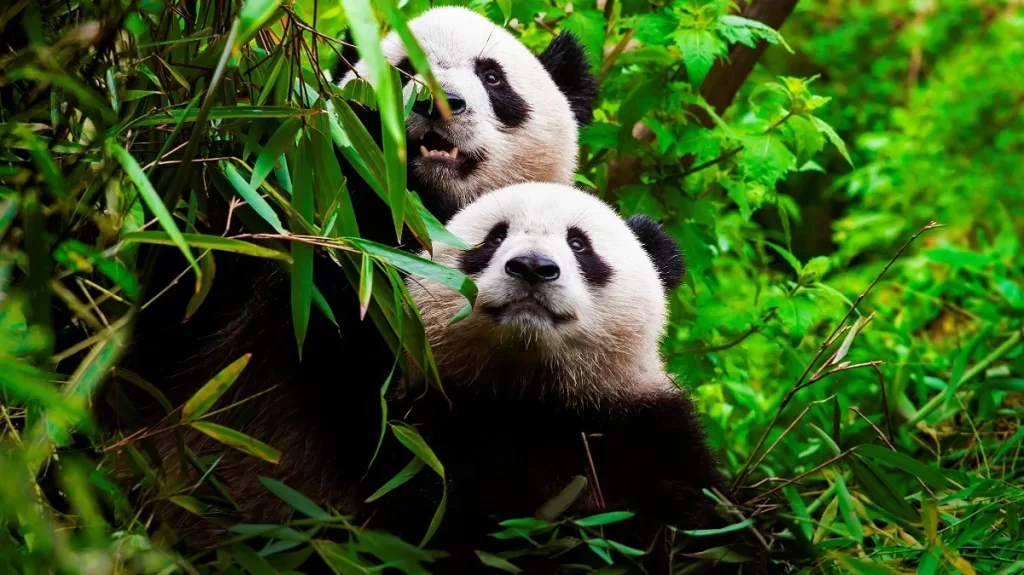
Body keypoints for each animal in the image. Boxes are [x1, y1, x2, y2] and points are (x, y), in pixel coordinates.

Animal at [354, 183, 730, 572]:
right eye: (495, 237)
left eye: (578, 244)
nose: (533, 267)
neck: (534, 392)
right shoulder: (430, 423)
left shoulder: (647, 426)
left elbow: (687, 517)